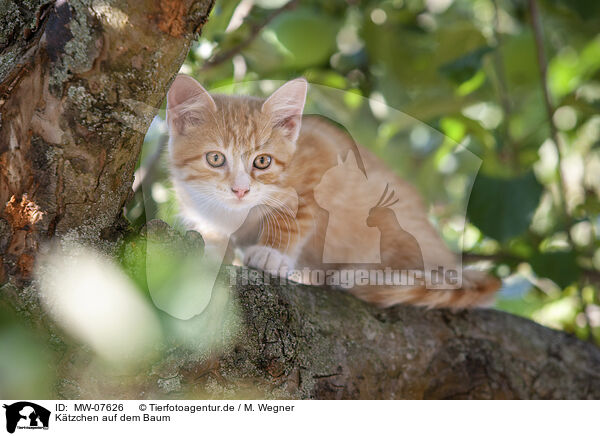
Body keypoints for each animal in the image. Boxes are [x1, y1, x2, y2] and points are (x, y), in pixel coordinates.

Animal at [166, 75, 500, 308]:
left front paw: (271, 252)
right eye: (215, 158)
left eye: (262, 161)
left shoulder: (322, 156)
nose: (240, 190)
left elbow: (295, 215)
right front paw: (211, 245)